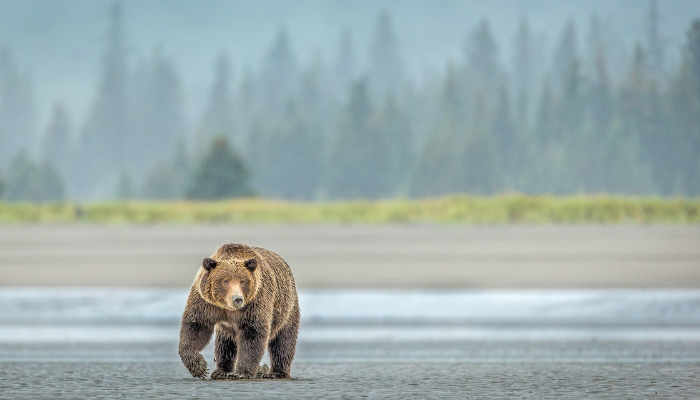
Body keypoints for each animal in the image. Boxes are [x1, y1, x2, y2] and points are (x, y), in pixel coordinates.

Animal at [179, 242, 300, 380]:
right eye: (225, 280)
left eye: (242, 281)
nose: (237, 299)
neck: (227, 308)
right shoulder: (206, 302)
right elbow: (196, 327)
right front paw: (199, 367)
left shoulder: (255, 303)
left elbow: (252, 333)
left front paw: (242, 372)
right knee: (224, 344)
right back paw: (221, 371)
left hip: (286, 307)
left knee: (283, 341)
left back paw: (276, 373)